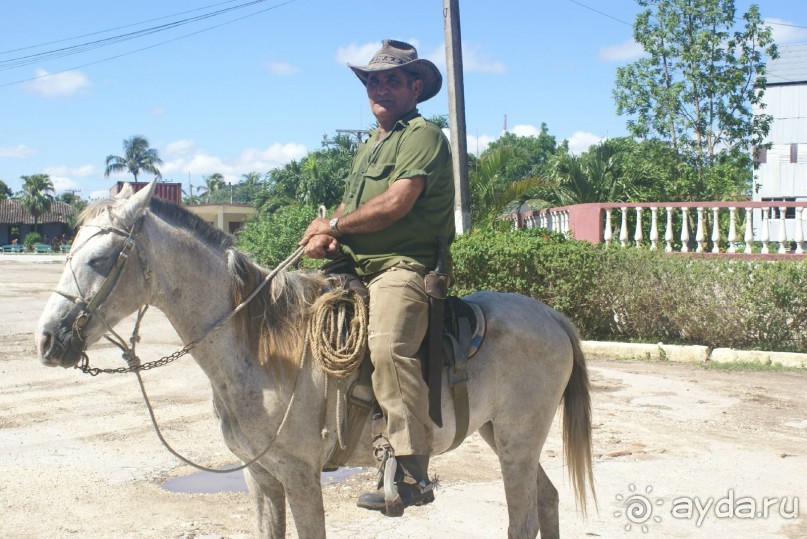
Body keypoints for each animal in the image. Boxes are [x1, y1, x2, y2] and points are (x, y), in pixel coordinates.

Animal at [34, 182, 596, 539]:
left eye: (101, 259)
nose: (47, 340)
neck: (260, 350)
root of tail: (552, 316)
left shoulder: (301, 476)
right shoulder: (258, 476)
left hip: (518, 441)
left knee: (523, 520)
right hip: (503, 437)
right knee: (548, 500)